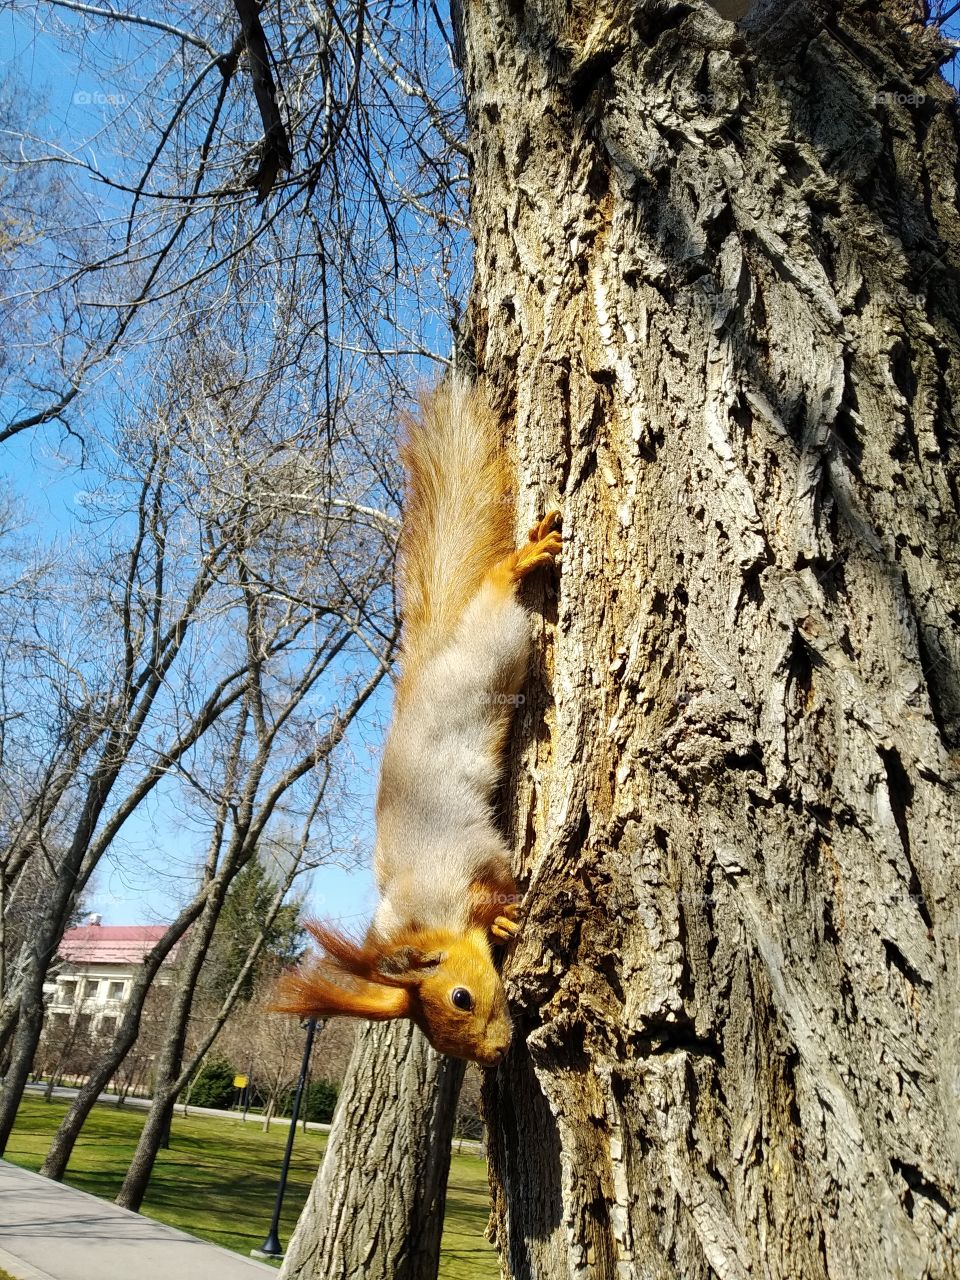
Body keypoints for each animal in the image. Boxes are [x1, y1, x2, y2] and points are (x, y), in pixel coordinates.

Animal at [273, 378, 561, 1065]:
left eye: (460, 996)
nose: (494, 1055)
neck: (423, 918)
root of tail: (429, 659)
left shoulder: (466, 857)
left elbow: (494, 881)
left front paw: (499, 918)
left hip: (495, 647)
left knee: (496, 596)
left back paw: (521, 561)